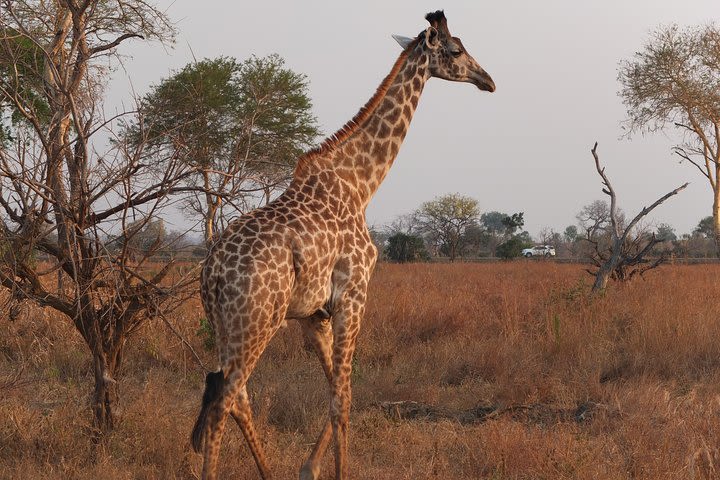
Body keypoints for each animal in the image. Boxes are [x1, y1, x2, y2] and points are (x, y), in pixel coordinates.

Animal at [191, 11, 496, 480]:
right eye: (457, 49)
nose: (488, 80)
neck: (360, 185)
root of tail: (212, 273)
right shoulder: (353, 294)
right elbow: (343, 399)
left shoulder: (313, 314)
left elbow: (338, 390)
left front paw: (308, 468)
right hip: (258, 320)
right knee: (226, 396)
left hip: (227, 323)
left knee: (235, 395)